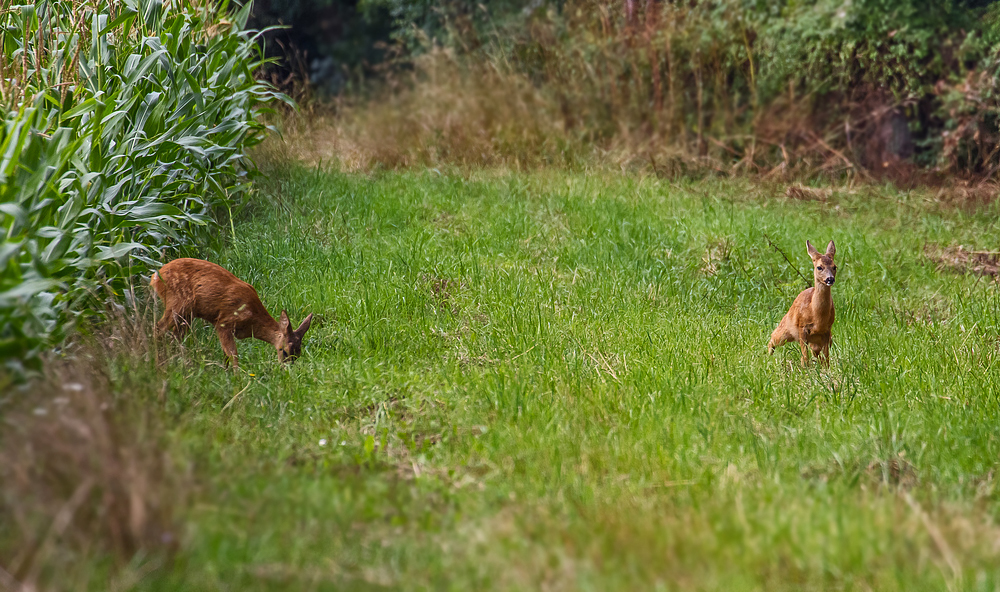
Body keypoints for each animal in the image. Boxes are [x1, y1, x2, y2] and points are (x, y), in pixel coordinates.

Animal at [149, 256, 308, 368]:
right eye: (284, 351)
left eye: (298, 354)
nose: (286, 369)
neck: (252, 320)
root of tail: (155, 276)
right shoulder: (224, 322)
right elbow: (233, 355)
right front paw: (238, 381)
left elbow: (225, 355)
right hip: (176, 303)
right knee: (158, 328)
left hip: (187, 314)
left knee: (175, 336)